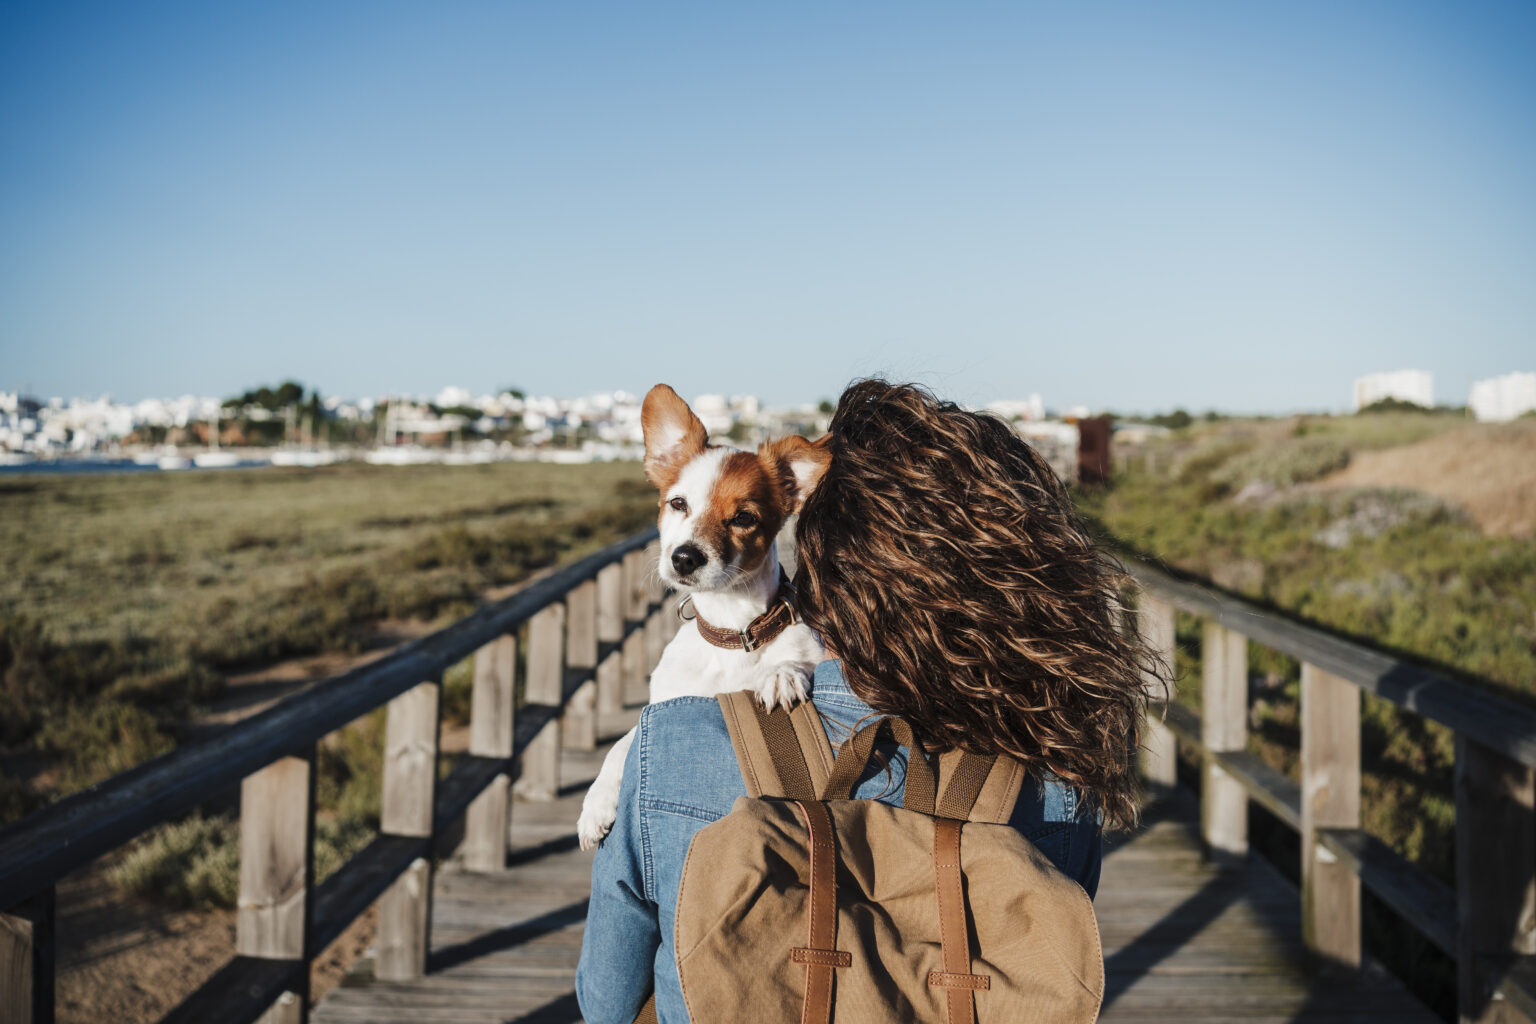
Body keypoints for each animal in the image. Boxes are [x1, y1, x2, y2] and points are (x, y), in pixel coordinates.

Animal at [577, 382, 829, 847]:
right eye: (678, 503)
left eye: (744, 517)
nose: (684, 557)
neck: (732, 632)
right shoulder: (662, 705)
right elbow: (622, 743)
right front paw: (595, 805)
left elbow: (793, 659)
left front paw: (780, 674)